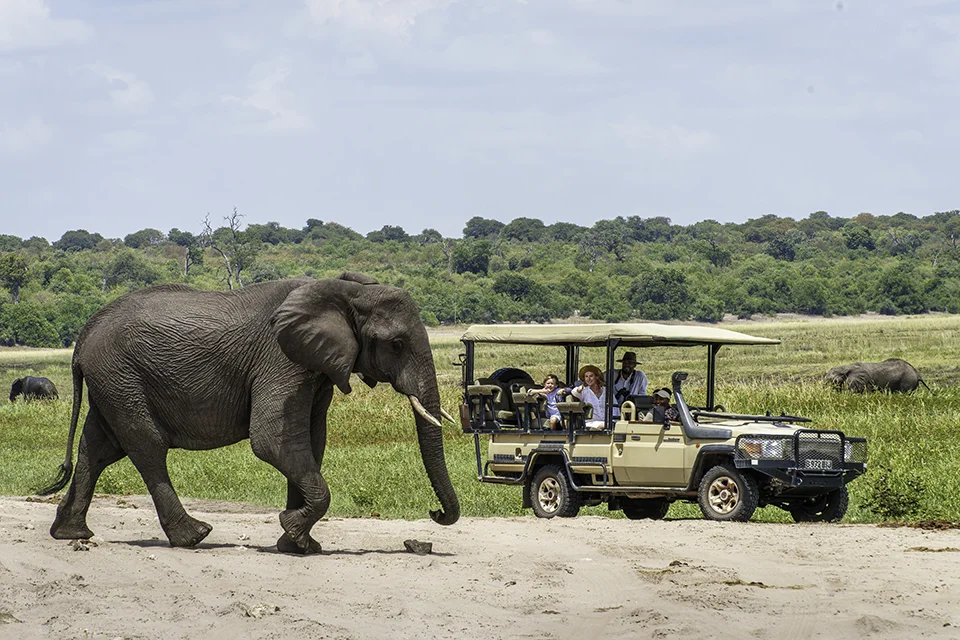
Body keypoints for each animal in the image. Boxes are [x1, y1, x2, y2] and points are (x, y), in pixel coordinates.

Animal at [39, 272, 460, 554]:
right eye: (397, 344)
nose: (435, 512)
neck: (345, 291)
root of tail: (82, 338)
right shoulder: (281, 359)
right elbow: (272, 439)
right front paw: (294, 532)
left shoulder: (316, 366)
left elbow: (310, 441)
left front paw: (298, 544)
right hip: (120, 378)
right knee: (147, 447)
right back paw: (194, 537)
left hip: (112, 383)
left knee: (97, 448)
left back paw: (72, 535)